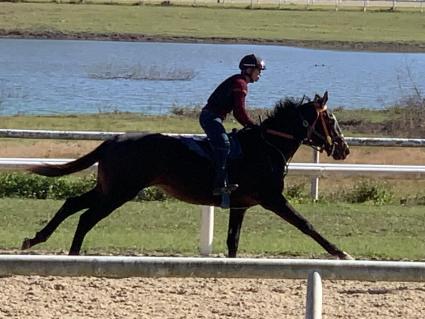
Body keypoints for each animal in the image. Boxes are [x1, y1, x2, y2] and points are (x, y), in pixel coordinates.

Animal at [20, 90, 352, 260]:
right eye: (332, 119)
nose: (344, 149)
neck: (267, 145)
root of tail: (113, 140)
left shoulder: (241, 204)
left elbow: (233, 241)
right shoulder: (273, 198)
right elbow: (306, 225)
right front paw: (340, 252)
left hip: (109, 187)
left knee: (71, 204)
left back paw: (35, 239)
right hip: (120, 191)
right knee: (86, 216)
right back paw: (73, 252)